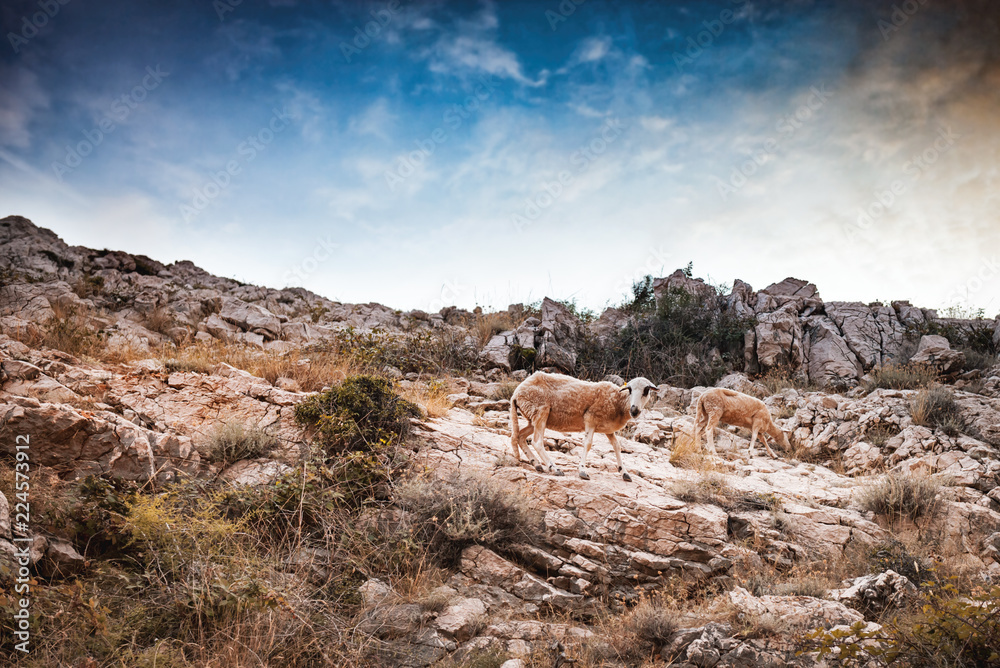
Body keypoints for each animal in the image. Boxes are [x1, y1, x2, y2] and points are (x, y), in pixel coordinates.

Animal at [512, 370, 660, 480]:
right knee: (537, 442)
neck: (618, 402)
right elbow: (588, 444)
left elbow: (617, 446)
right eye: (629, 390)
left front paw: (624, 472)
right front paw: (582, 471)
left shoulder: (608, 430)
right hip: (540, 411)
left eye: (646, 391)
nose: (634, 410)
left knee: (520, 436)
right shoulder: (590, 419)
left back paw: (536, 464)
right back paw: (554, 468)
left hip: (533, 417)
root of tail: (516, 393)